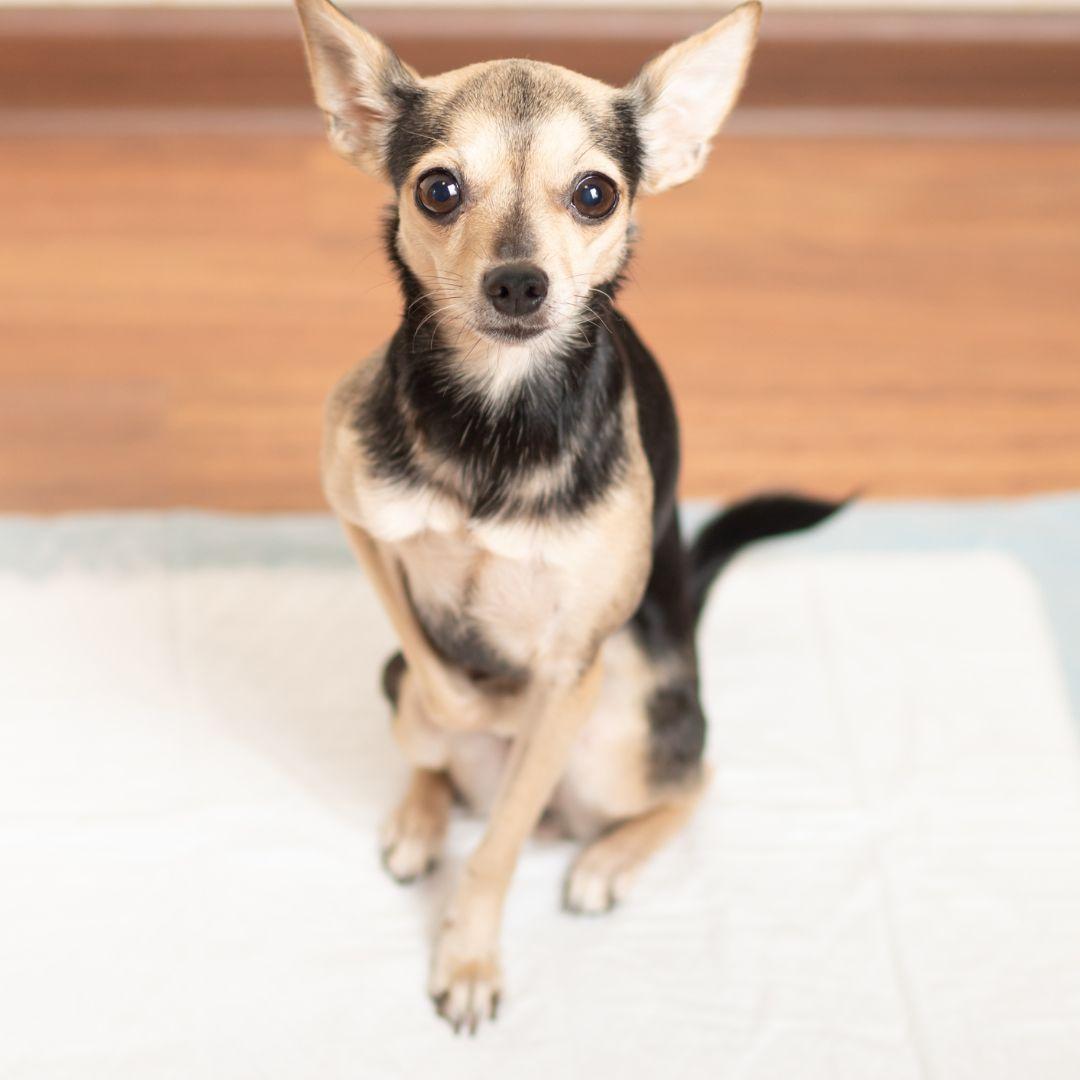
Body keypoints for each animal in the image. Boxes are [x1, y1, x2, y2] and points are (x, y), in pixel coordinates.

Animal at [295, 0, 842, 1028]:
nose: (518, 282)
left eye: (594, 194)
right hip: (401, 685)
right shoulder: (358, 517)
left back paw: (606, 860)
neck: (496, 418)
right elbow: (443, 679)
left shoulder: (573, 663)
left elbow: (500, 843)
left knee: (691, 779)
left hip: (627, 722)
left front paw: (468, 957)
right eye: (438, 191)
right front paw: (480, 703)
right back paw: (420, 816)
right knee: (427, 735)